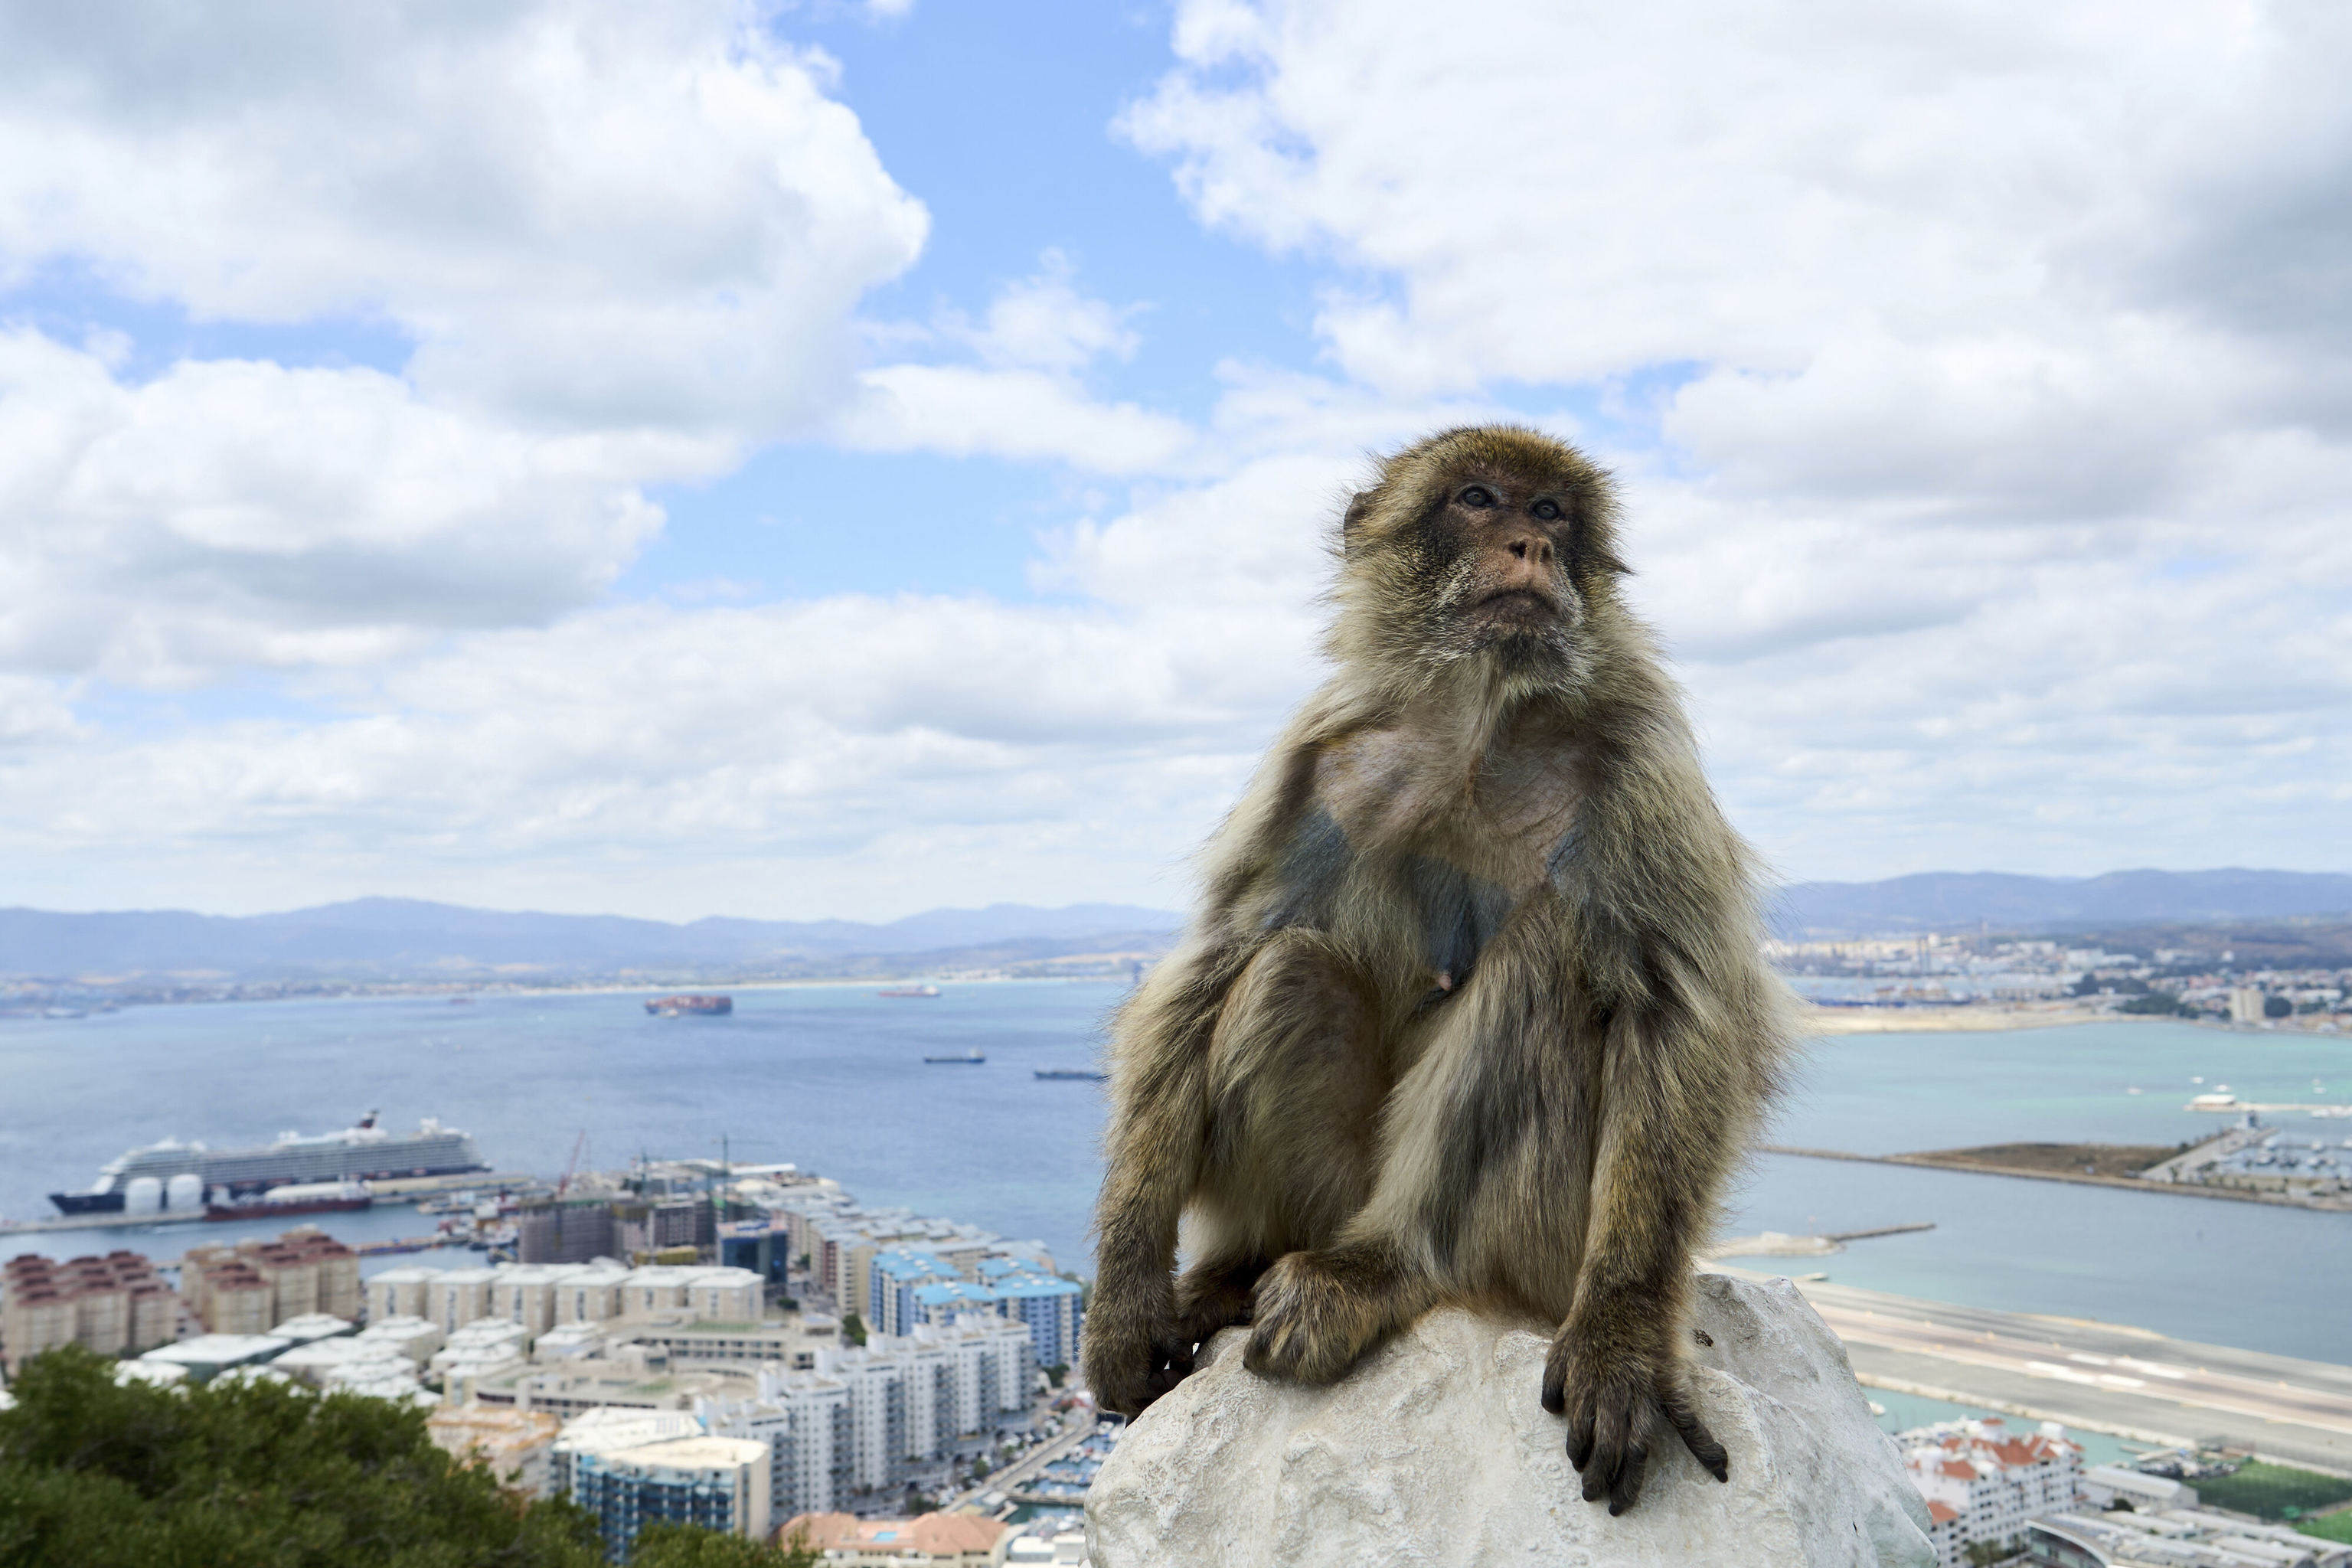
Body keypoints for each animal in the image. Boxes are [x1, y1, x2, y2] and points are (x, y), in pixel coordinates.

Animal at [1083, 425, 1792, 1517]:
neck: (1478, 710)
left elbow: (1679, 1010)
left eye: (1551, 512)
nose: (1530, 547)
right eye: (1479, 498)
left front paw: (1624, 1339)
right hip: (1334, 1186)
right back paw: (1248, 1262)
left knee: (1549, 959)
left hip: (1544, 1242)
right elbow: (1218, 957)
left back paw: (1385, 1268)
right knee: (1288, 966)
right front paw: (1124, 1292)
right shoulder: (1318, 757)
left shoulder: (1638, 753)